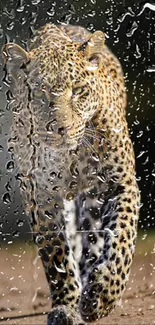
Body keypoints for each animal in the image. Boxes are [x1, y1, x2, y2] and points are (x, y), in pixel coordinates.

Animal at [2, 24, 140, 322]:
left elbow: (121, 238)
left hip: (93, 200)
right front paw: (66, 304)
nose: (61, 129)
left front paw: (102, 296)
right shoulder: (41, 195)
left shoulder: (120, 184)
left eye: (78, 90)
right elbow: (56, 253)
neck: (72, 155)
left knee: (94, 237)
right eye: (40, 95)